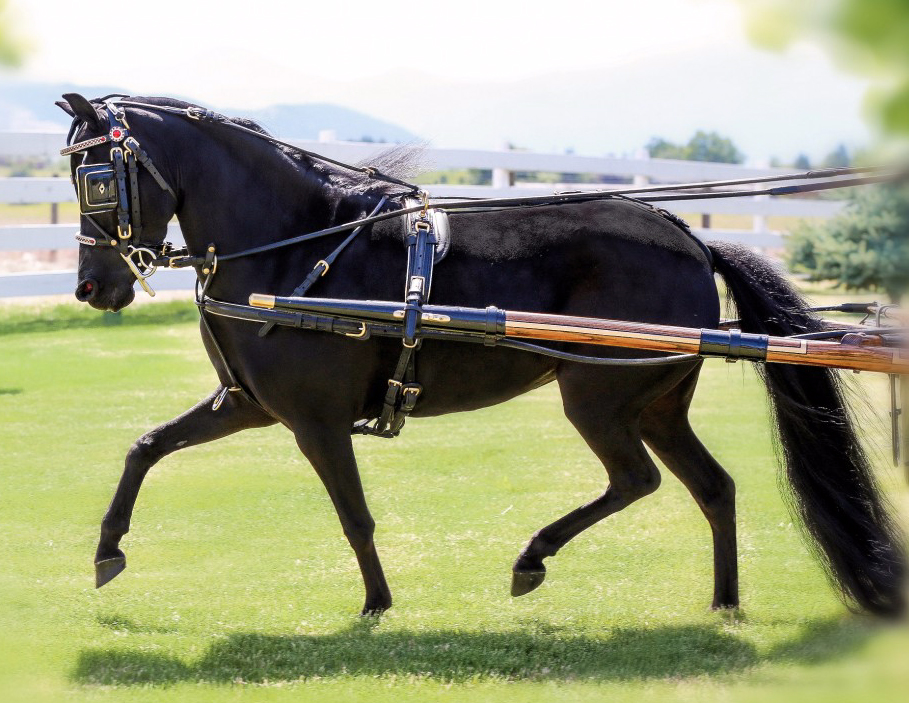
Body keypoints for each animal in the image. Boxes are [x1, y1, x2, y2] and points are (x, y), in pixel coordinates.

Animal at [56, 92, 905, 617]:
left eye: (95, 177)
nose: (92, 286)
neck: (297, 245)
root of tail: (691, 238)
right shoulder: (248, 405)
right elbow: (145, 446)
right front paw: (106, 549)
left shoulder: (314, 421)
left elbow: (354, 514)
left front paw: (377, 602)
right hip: (655, 402)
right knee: (714, 487)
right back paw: (723, 600)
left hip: (596, 397)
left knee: (636, 479)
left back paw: (533, 556)